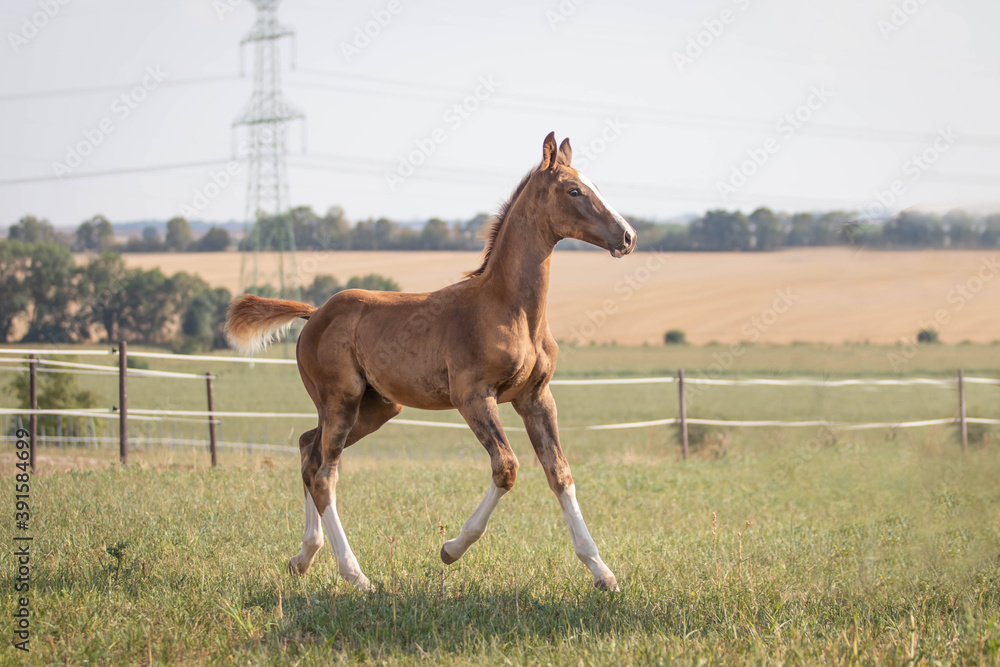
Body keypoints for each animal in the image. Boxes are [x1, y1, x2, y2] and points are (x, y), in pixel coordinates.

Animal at [225, 132, 636, 592]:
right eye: (574, 190)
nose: (627, 237)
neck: (510, 308)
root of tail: (314, 314)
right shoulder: (473, 397)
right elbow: (507, 468)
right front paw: (451, 549)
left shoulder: (536, 397)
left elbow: (560, 473)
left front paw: (602, 571)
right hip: (340, 401)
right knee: (323, 473)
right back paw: (356, 574)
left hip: (376, 407)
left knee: (307, 450)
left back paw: (304, 557)